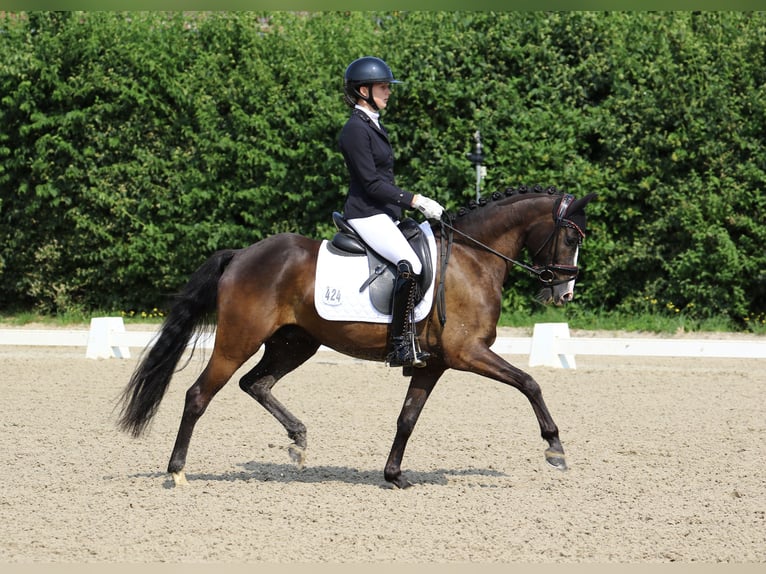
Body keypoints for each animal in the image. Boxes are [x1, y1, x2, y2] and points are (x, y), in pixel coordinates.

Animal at [118, 186, 600, 490]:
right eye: (571, 235)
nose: (564, 292)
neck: (473, 256)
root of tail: (241, 255)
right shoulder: (469, 352)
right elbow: (529, 382)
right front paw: (555, 448)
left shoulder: (435, 362)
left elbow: (407, 418)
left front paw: (393, 475)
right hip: (238, 340)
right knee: (199, 395)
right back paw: (177, 471)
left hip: (296, 343)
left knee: (255, 383)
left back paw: (298, 441)